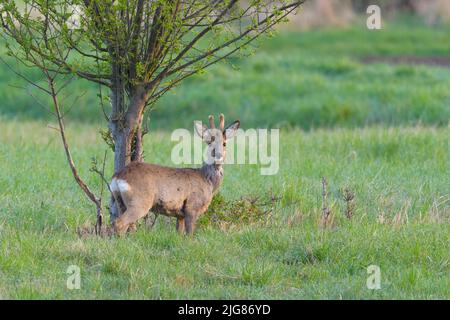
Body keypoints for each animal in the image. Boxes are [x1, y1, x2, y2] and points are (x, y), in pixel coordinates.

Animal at [111, 115, 241, 235]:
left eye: (224, 143)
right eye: (209, 143)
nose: (218, 156)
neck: (207, 181)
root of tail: (118, 177)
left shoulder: (180, 215)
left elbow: (179, 233)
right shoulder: (192, 207)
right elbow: (189, 234)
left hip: (120, 201)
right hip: (140, 201)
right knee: (119, 222)